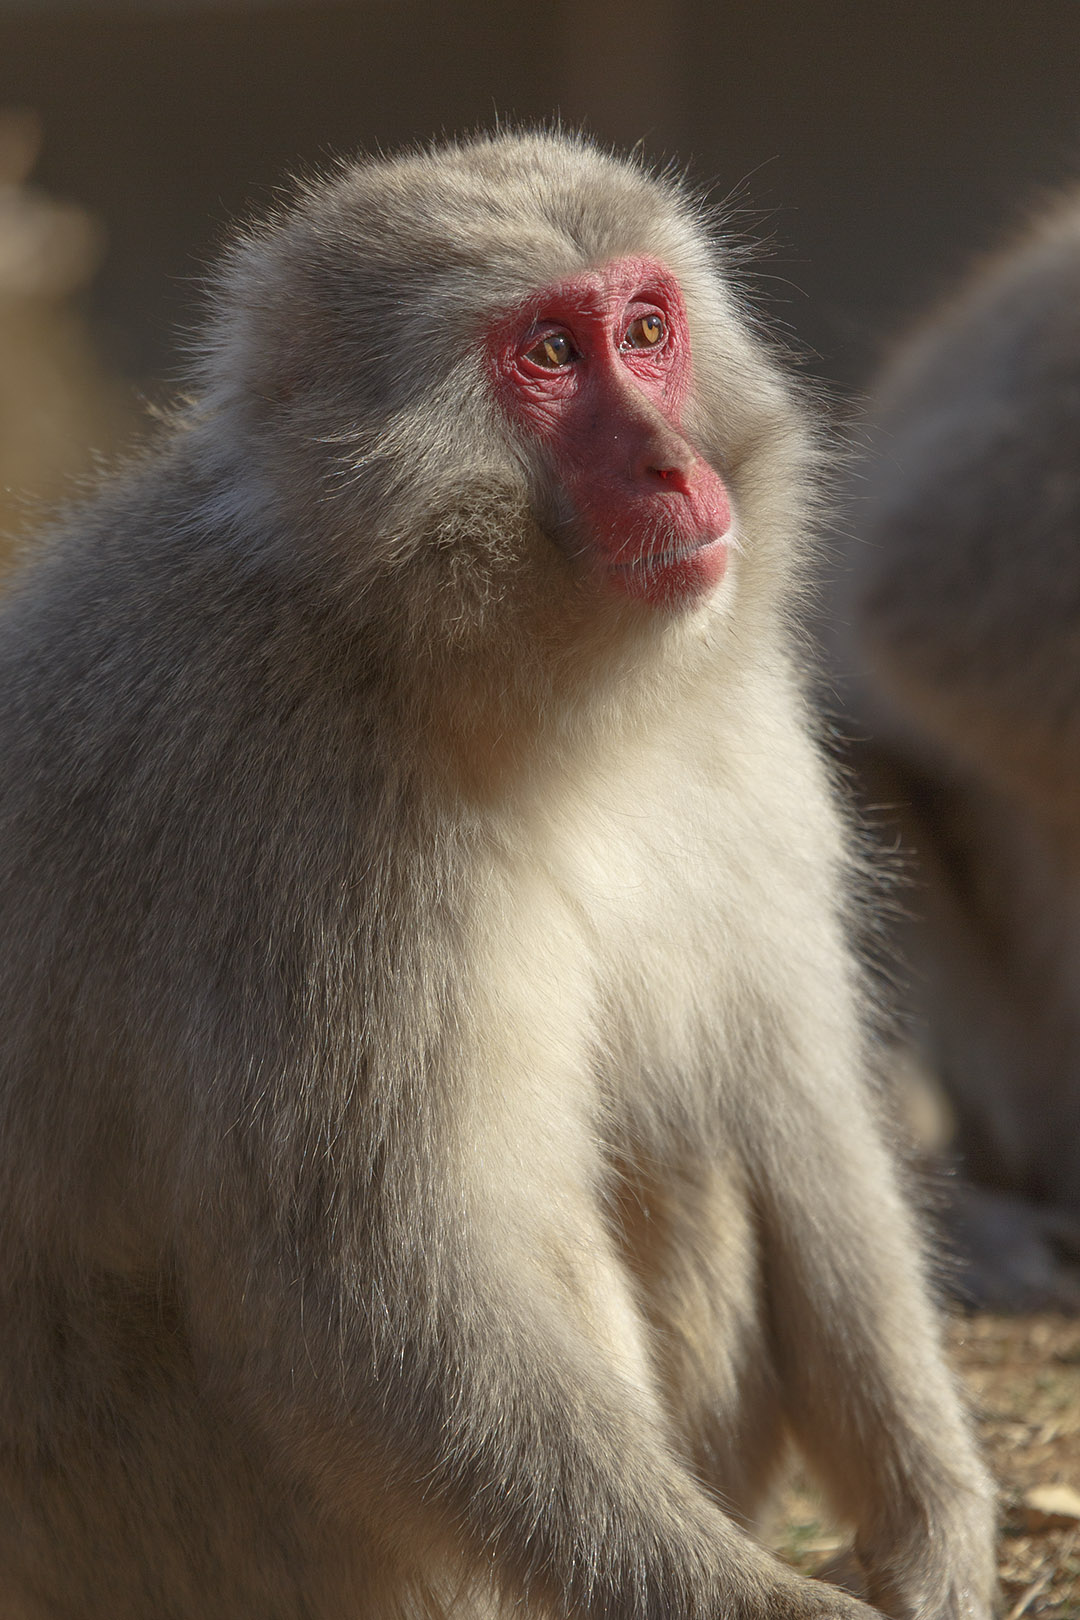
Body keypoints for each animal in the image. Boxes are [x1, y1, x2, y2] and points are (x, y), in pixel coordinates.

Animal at [0, 130, 993, 1620]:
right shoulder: (292, 837)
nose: (674, 468)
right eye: (550, 355)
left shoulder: (734, 725)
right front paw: (773, 1603)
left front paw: (934, 1517)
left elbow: (789, 1099)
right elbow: (371, 1290)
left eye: (645, 333)